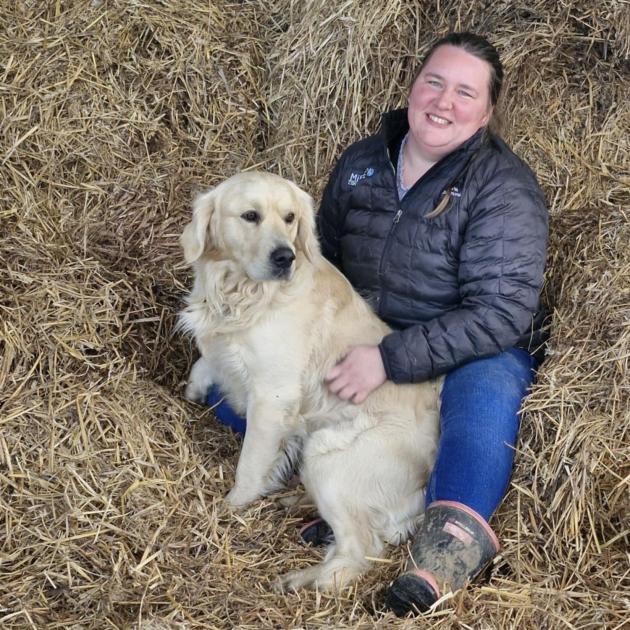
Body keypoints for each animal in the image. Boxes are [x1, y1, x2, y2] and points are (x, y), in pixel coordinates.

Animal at [180, 172, 442, 592]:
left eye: (289, 218)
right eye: (250, 216)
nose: (284, 257)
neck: (242, 293)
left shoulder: (272, 397)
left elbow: (250, 464)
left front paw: (231, 506)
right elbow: (206, 361)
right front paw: (196, 387)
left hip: (328, 457)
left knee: (358, 550)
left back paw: (301, 579)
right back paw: (295, 502)